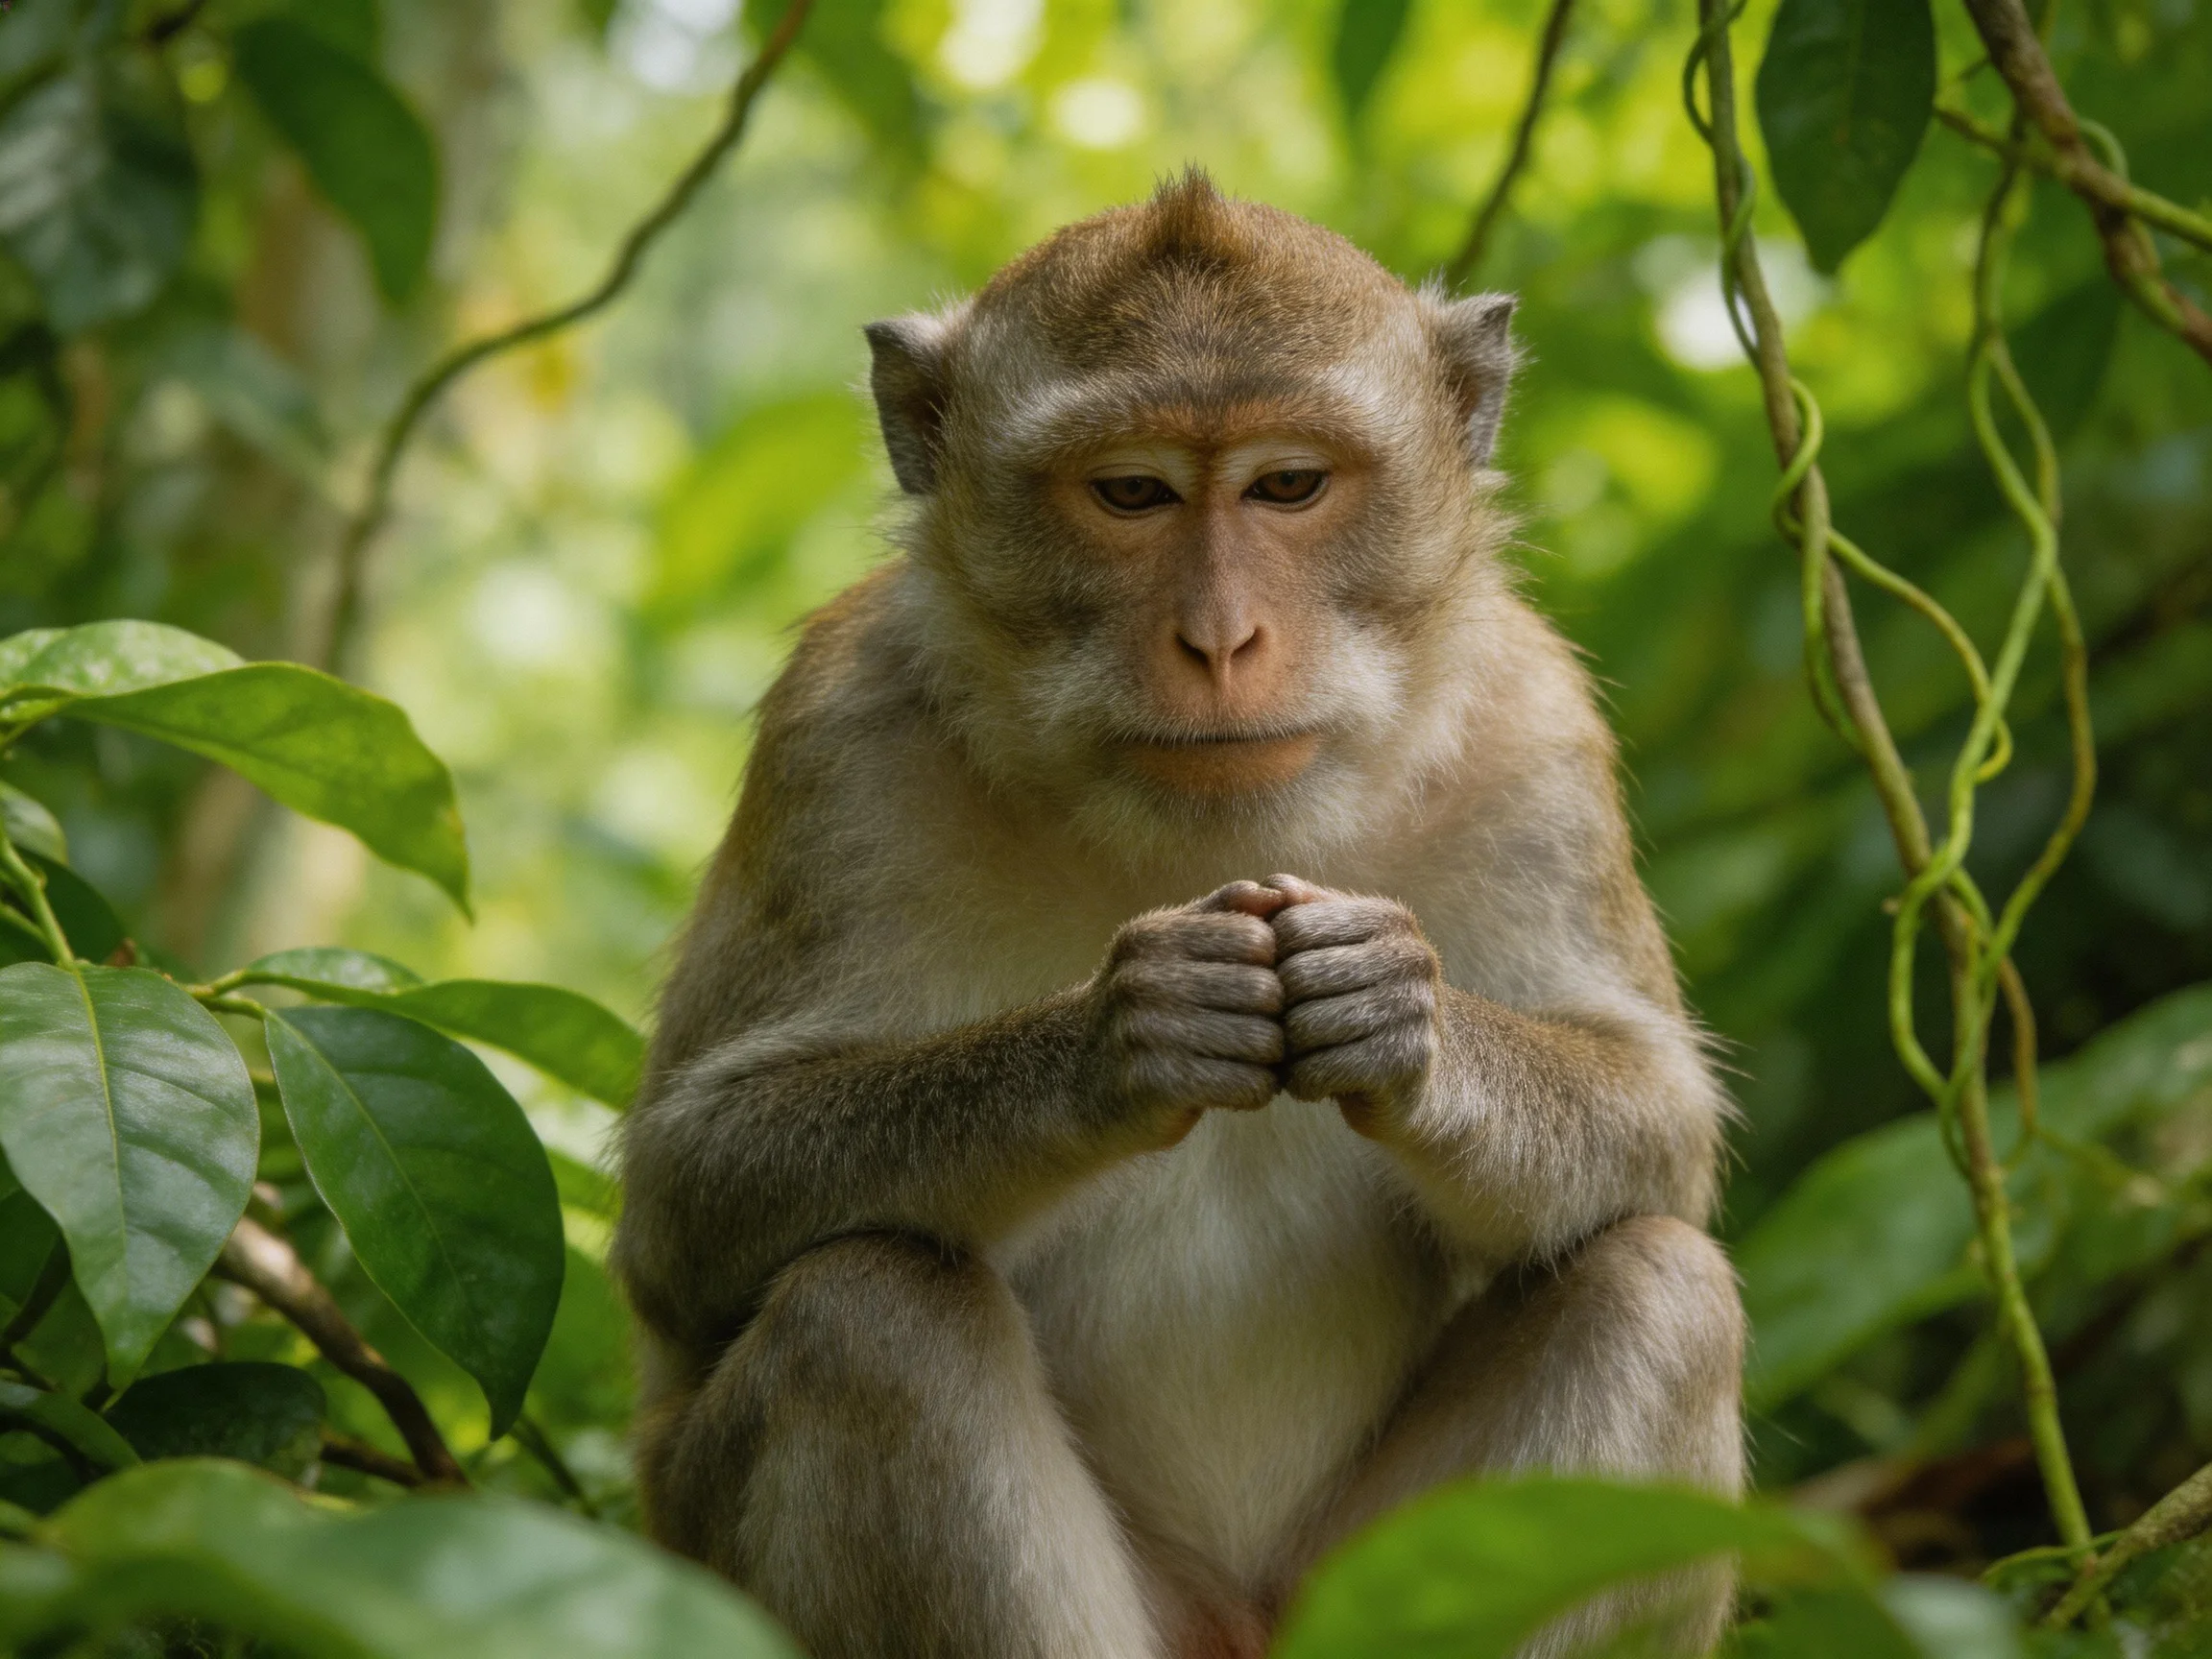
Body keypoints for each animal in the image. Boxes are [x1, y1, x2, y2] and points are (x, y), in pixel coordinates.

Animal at [609, 171, 1743, 1659]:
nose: (1218, 640)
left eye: (1289, 485)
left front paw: (1398, 1016)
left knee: (1657, 1287)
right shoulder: (837, 736)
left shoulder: (1535, 726)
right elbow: (685, 1208)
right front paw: (1123, 1034)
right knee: (868, 1319)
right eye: (1132, 492)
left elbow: (1660, 1129)